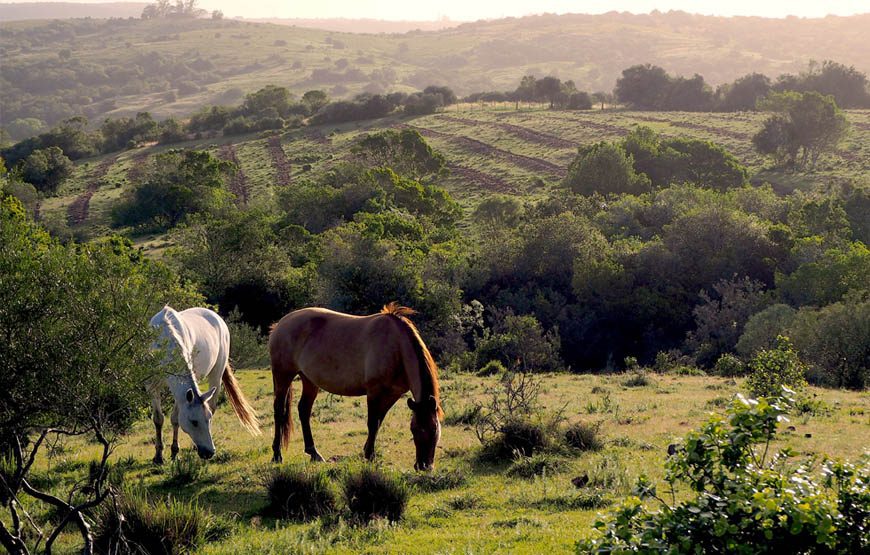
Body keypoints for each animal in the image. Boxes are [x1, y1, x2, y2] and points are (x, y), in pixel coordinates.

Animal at [150, 306, 260, 462]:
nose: (209, 452)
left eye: (208, 420)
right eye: (194, 422)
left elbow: (175, 419)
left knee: (212, 405)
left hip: (216, 375)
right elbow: (158, 419)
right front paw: (158, 456)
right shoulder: (152, 385)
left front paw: (174, 451)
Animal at [270, 304, 446, 470]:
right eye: (415, 429)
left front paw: (366, 451)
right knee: (279, 410)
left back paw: (314, 453)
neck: (396, 347)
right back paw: (277, 455)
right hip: (283, 376)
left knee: (304, 410)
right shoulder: (374, 392)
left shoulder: (393, 394)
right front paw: (370, 456)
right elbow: (373, 423)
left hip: (309, 380)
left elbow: (379, 421)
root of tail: (279, 325)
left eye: (435, 430)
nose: (424, 466)